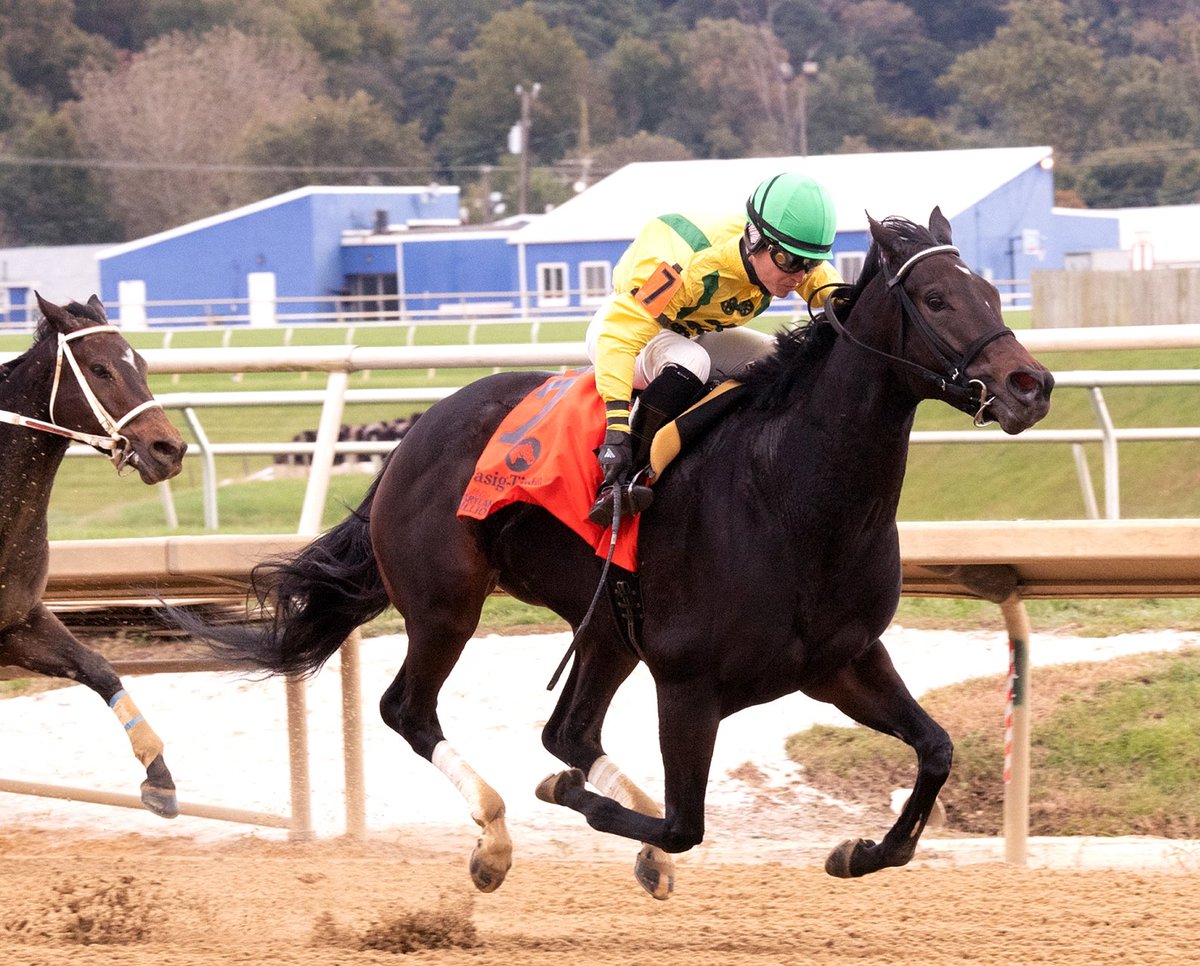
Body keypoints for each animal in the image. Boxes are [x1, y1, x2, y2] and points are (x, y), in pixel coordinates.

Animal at [0, 294, 187, 816]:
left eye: (140, 363)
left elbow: (98, 667)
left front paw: (159, 777)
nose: (170, 449)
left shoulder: (18, 622)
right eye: (100, 369)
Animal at [174, 211, 1056, 897]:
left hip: (605, 627)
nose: (1031, 384)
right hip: (446, 604)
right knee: (410, 710)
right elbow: (684, 822)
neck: (792, 496)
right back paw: (494, 838)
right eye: (937, 299)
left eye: (990, 291)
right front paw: (585, 808)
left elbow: (935, 750)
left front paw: (862, 850)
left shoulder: (841, 661)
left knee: (568, 731)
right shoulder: (690, 686)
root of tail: (412, 435)